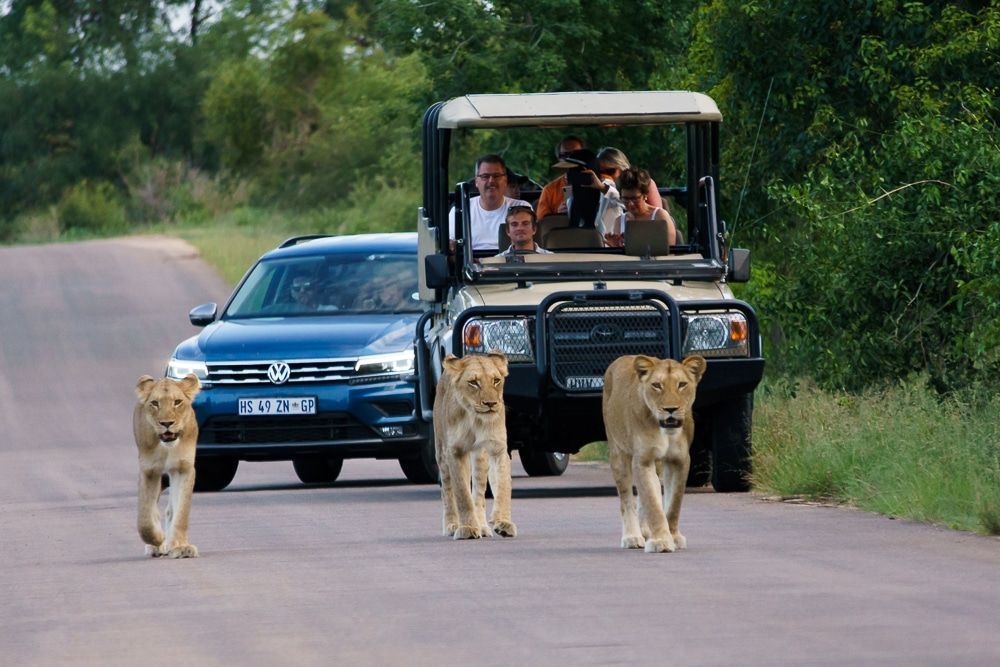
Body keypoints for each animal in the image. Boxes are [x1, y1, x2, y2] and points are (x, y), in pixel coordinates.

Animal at [133, 374, 201, 558]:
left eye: (177, 402)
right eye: (155, 403)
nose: (167, 423)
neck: (167, 448)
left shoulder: (183, 468)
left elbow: (181, 512)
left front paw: (180, 547)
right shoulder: (149, 470)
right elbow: (145, 518)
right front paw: (157, 540)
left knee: (170, 510)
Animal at [433, 353, 517, 540]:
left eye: (496, 380)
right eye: (473, 382)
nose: (491, 404)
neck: (475, 419)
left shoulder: (498, 448)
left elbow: (503, 487)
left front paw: (504, 523)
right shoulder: (454, 451)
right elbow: (462, 494)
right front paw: (468, 528)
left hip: (479, 457)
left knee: (478, 493)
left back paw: (483, 527)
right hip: (442, 454)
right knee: (448, 490)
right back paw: (452, 525)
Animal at [602, 354, 706, 553]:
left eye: (682, 384)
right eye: (657, 385)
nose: (670, 409)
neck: (665, 431)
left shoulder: (680, 460)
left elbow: (673, 504)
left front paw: (673, 537)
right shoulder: (642, 460)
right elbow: (652, 503)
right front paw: (661, 541)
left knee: (654, 488)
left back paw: (645, 530)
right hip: (618, 453)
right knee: (627, 500)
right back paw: (632, 537)